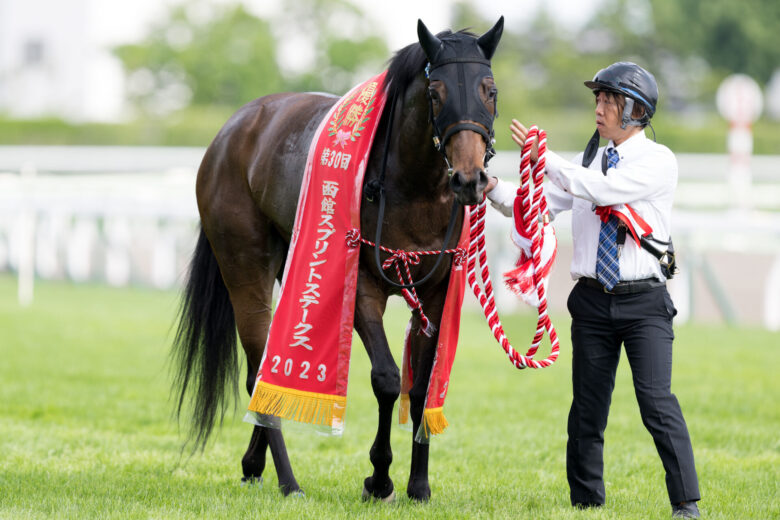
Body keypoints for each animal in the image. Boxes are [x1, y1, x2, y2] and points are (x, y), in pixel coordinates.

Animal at [172, 18, 506, 502]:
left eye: (490, 89)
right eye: (435, 92)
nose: (469, 179)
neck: (414, 188)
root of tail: (231, 131)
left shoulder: (436, 292)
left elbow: (422, 387)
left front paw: (418, 485)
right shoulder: (363, 285)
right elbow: (387, 380)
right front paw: (379, 479)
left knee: (263, 371)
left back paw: (254, 464)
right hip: (244, 266)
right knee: (257, 373)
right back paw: (289, 481)